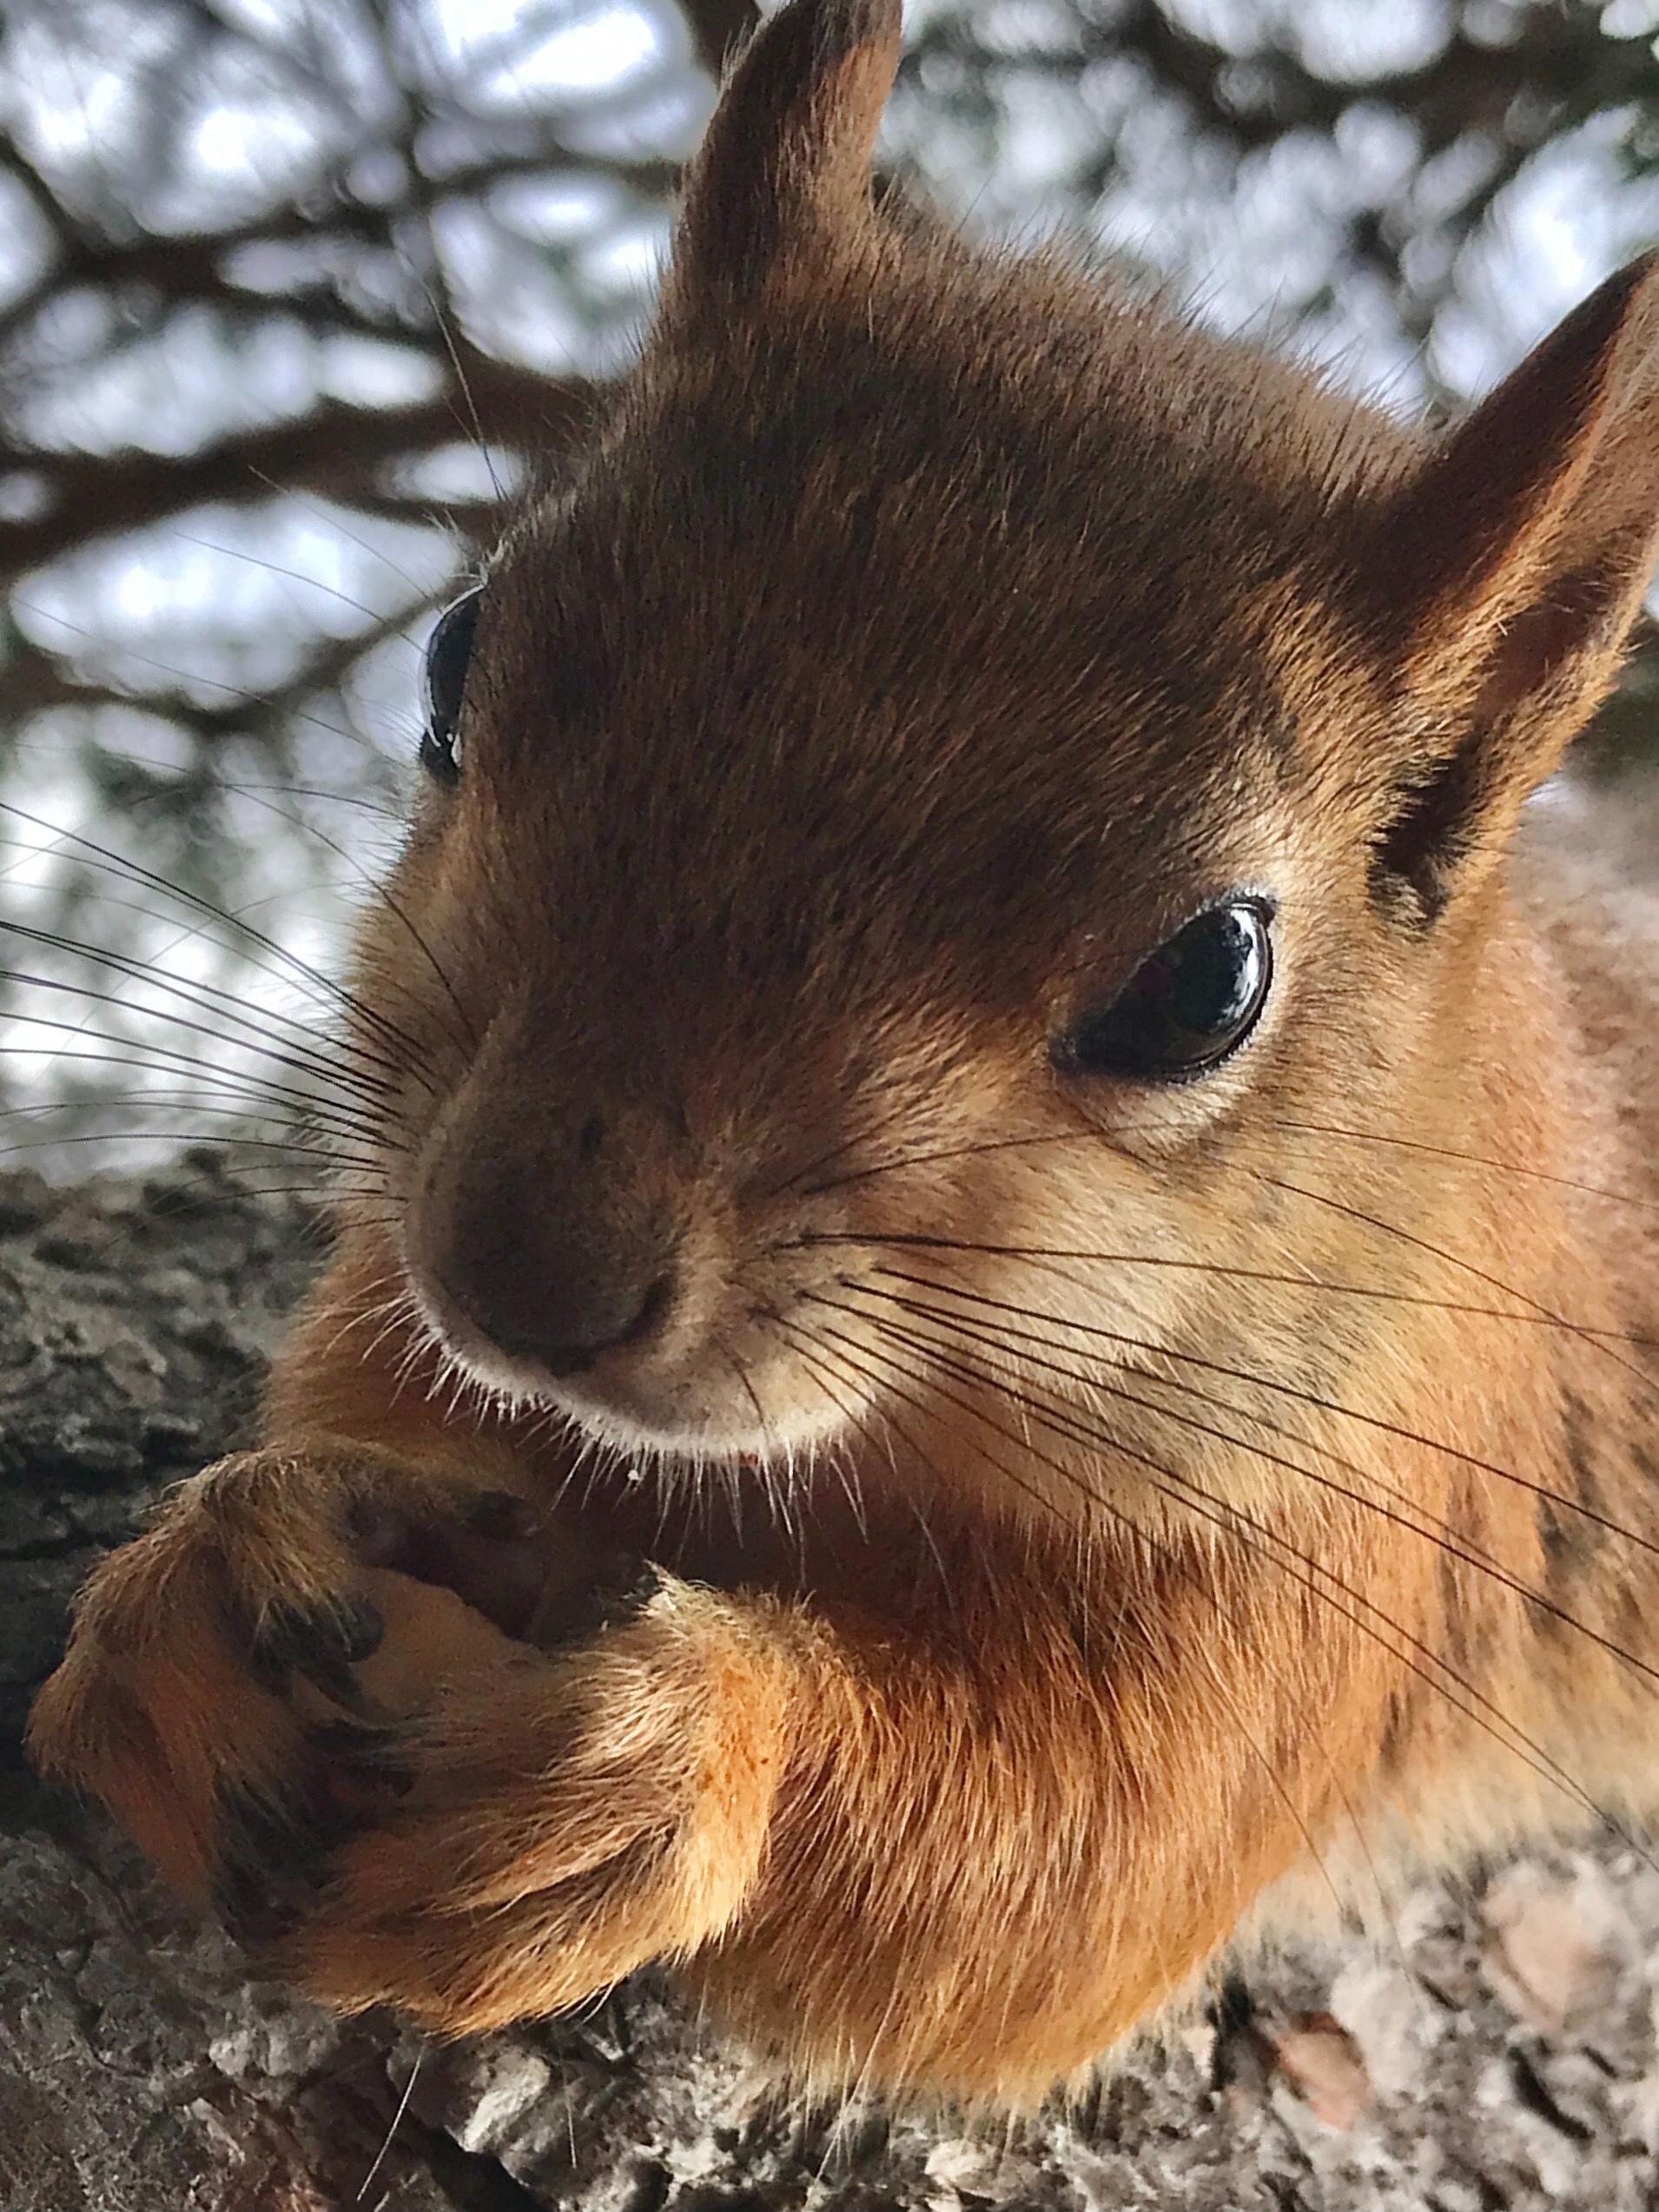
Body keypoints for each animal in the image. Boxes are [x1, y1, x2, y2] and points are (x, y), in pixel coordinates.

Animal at [23, 0, 1659, 2105]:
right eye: (455, 659)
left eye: (1205, 980)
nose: (525, 1276)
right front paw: (205, 1594)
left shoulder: (1358, 1545)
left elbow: (1072, 1859)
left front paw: (658, 1768)